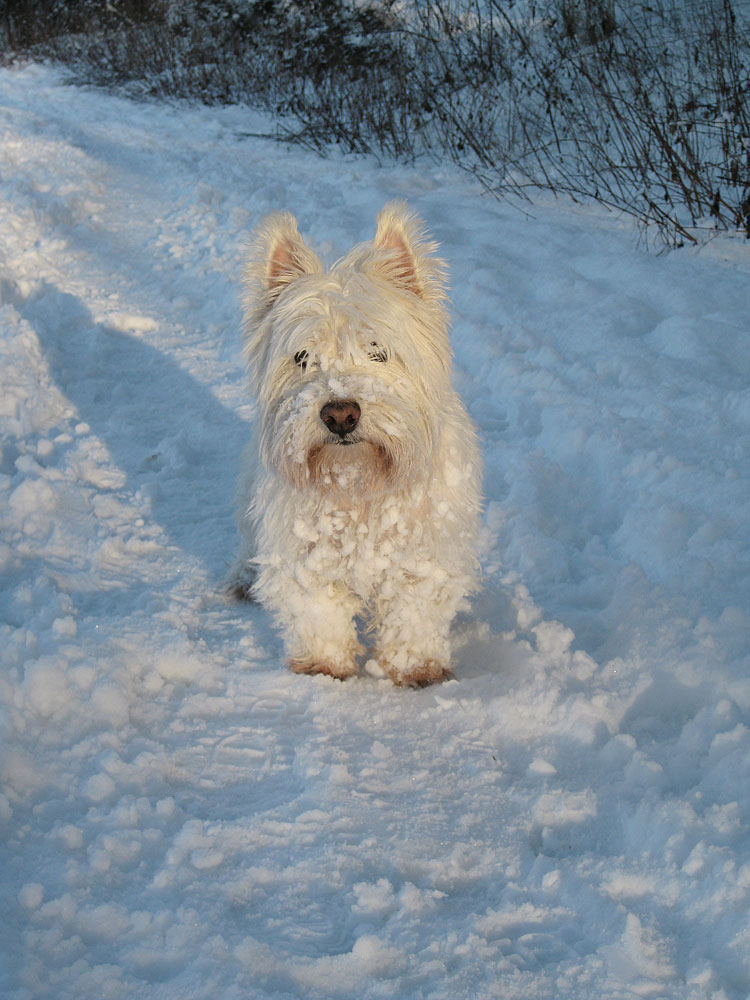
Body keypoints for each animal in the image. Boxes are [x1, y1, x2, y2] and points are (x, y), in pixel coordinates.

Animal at [232, 203, 484, 688]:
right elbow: (319, 612)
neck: (357, 487)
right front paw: (324, 666)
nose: (340, 414)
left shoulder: (421, 557)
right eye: (302, 357)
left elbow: (413, 614)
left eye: (378, 351)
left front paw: (416, 669)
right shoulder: (307, 555)